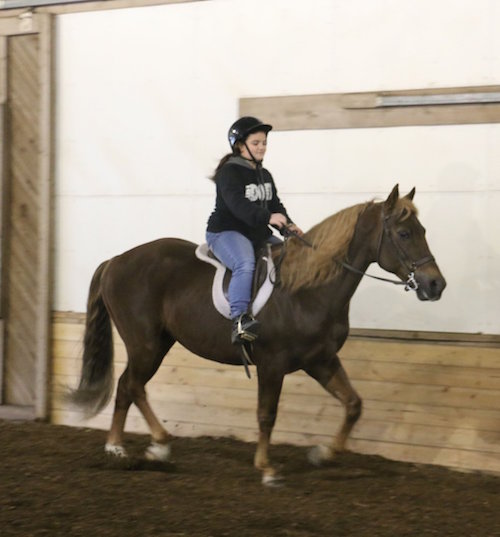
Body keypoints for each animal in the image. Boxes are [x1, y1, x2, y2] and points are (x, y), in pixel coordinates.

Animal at [66, 183, 446, 482]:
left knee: (128, 385)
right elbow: (267, 414)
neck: (307, 289)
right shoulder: (272, 363)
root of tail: (116, 260)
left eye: (424, 231)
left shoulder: (320, 360)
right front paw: (266, 467)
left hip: (158, 342)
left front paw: (323, 453)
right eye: (404, 234)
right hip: (144, 344)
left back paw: (130, 447)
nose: (435, 284)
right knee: (133, 385)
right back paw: (144, 445)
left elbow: (353, 404)